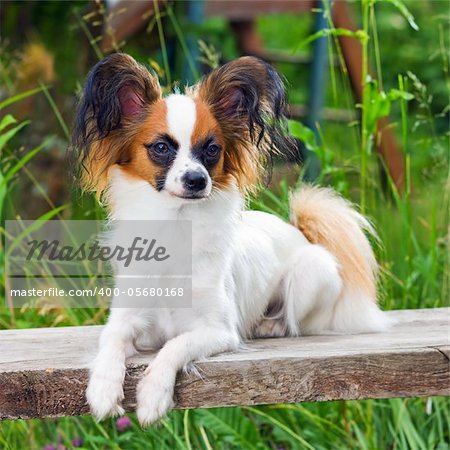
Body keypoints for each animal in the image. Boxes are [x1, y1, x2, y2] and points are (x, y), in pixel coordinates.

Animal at [71, 52, 390, 426]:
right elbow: (110, 342)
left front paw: (153, 395)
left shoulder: (219, 330)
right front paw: (103, 389)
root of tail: (297, 230)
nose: (196, 180)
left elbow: (174, 346)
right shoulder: (127, 318)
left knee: (299, 321)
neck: (178, 223)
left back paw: (270, 325)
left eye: (212, 150)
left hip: (312, 271)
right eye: (161, 148)